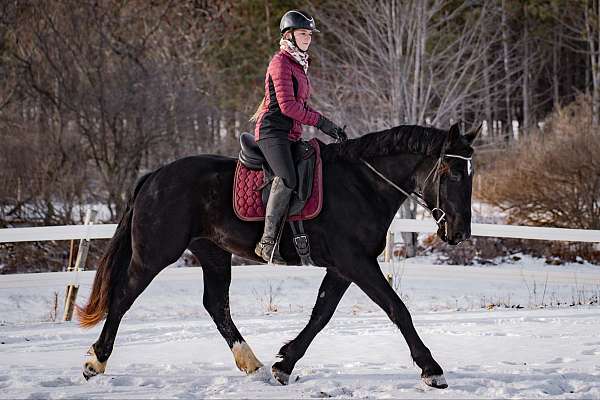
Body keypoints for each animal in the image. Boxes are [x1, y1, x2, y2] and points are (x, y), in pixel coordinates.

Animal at [77, 123, 478, 390]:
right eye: (452, 170)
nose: (459, 232)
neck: (362, 184)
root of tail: (156, 175)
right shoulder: (356, 262)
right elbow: (397, 308)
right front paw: (431, 369)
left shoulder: (343, 268)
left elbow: (321, 314)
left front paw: (284, 363)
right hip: (155, 254)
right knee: (123, 296)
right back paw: (96, 361)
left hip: (213, 254)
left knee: (216, 305)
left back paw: (252, 364)